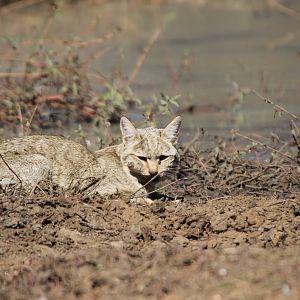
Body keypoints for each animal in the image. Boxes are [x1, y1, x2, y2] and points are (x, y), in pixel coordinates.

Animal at [0, 115, 182, 202]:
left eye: (163, 158)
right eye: (141, 158)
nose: (153, 172)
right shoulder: (98, 190)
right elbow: (135, 196)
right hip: (41, 162)